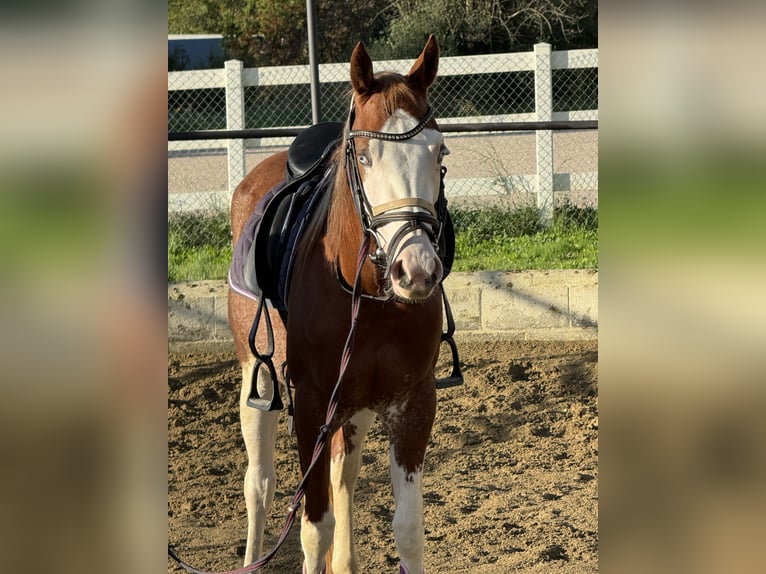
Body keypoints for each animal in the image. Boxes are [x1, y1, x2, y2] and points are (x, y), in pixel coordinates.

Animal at [230, 36, 450, 574]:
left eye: (439, 151)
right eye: (365, 156)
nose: (417, 271)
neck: (370, 298)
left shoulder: (413, 404)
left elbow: (408, 530)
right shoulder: (310, 403)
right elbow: (314, 529)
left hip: (354, 408)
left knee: (342, 475)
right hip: (257, 380)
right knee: (259, 486)